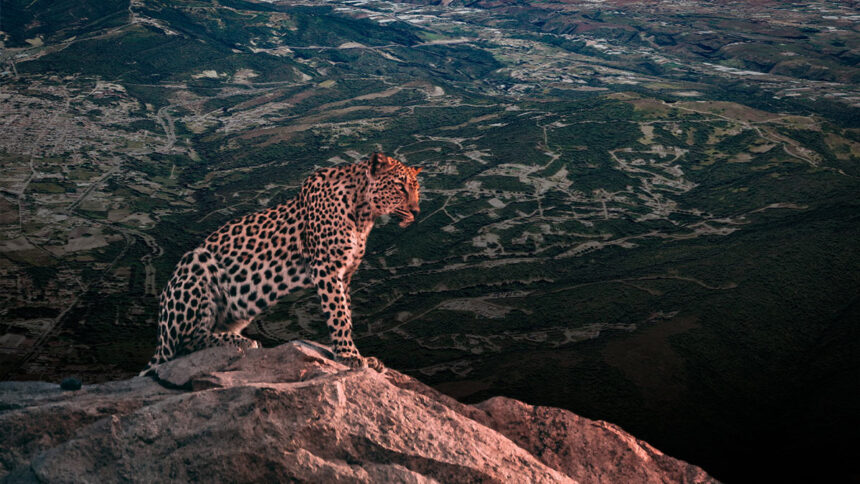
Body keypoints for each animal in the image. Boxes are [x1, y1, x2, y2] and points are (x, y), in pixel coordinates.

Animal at [139, 152, 421, 375]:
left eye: (417, 188)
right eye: (400, 187)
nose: (417, 211)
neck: (363, 213)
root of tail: (159, 338)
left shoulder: (346, 274)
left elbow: (346, 313)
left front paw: (358, 355)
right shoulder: (326, 268)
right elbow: (338, 314)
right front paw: (349, 356)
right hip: (196, 262)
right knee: (185, 343)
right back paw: (239, 341)